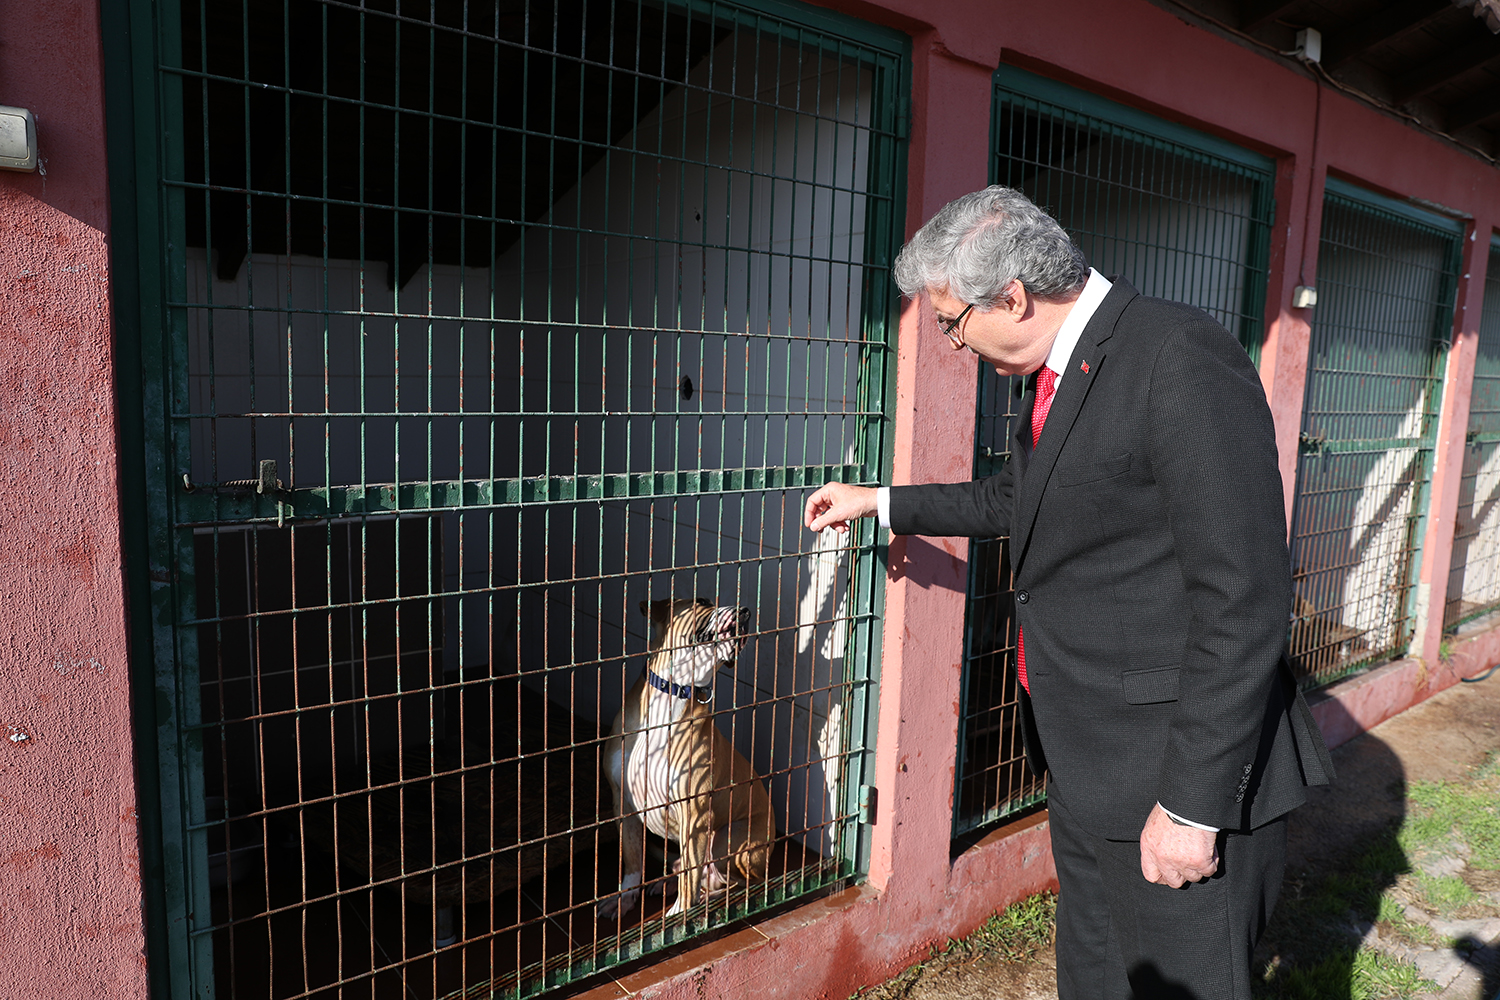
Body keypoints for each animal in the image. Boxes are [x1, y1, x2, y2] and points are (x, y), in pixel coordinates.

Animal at [594, 599, 774, 917]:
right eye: (703, 602)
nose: (746, 612)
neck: (671, 695)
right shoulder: (622, 803)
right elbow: (633, 860)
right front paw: (625, 898)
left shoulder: (696, 814)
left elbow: (690, 880)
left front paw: (681, 917)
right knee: (694, 872)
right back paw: (668, 882)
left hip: (728, 841)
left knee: (732, 882)